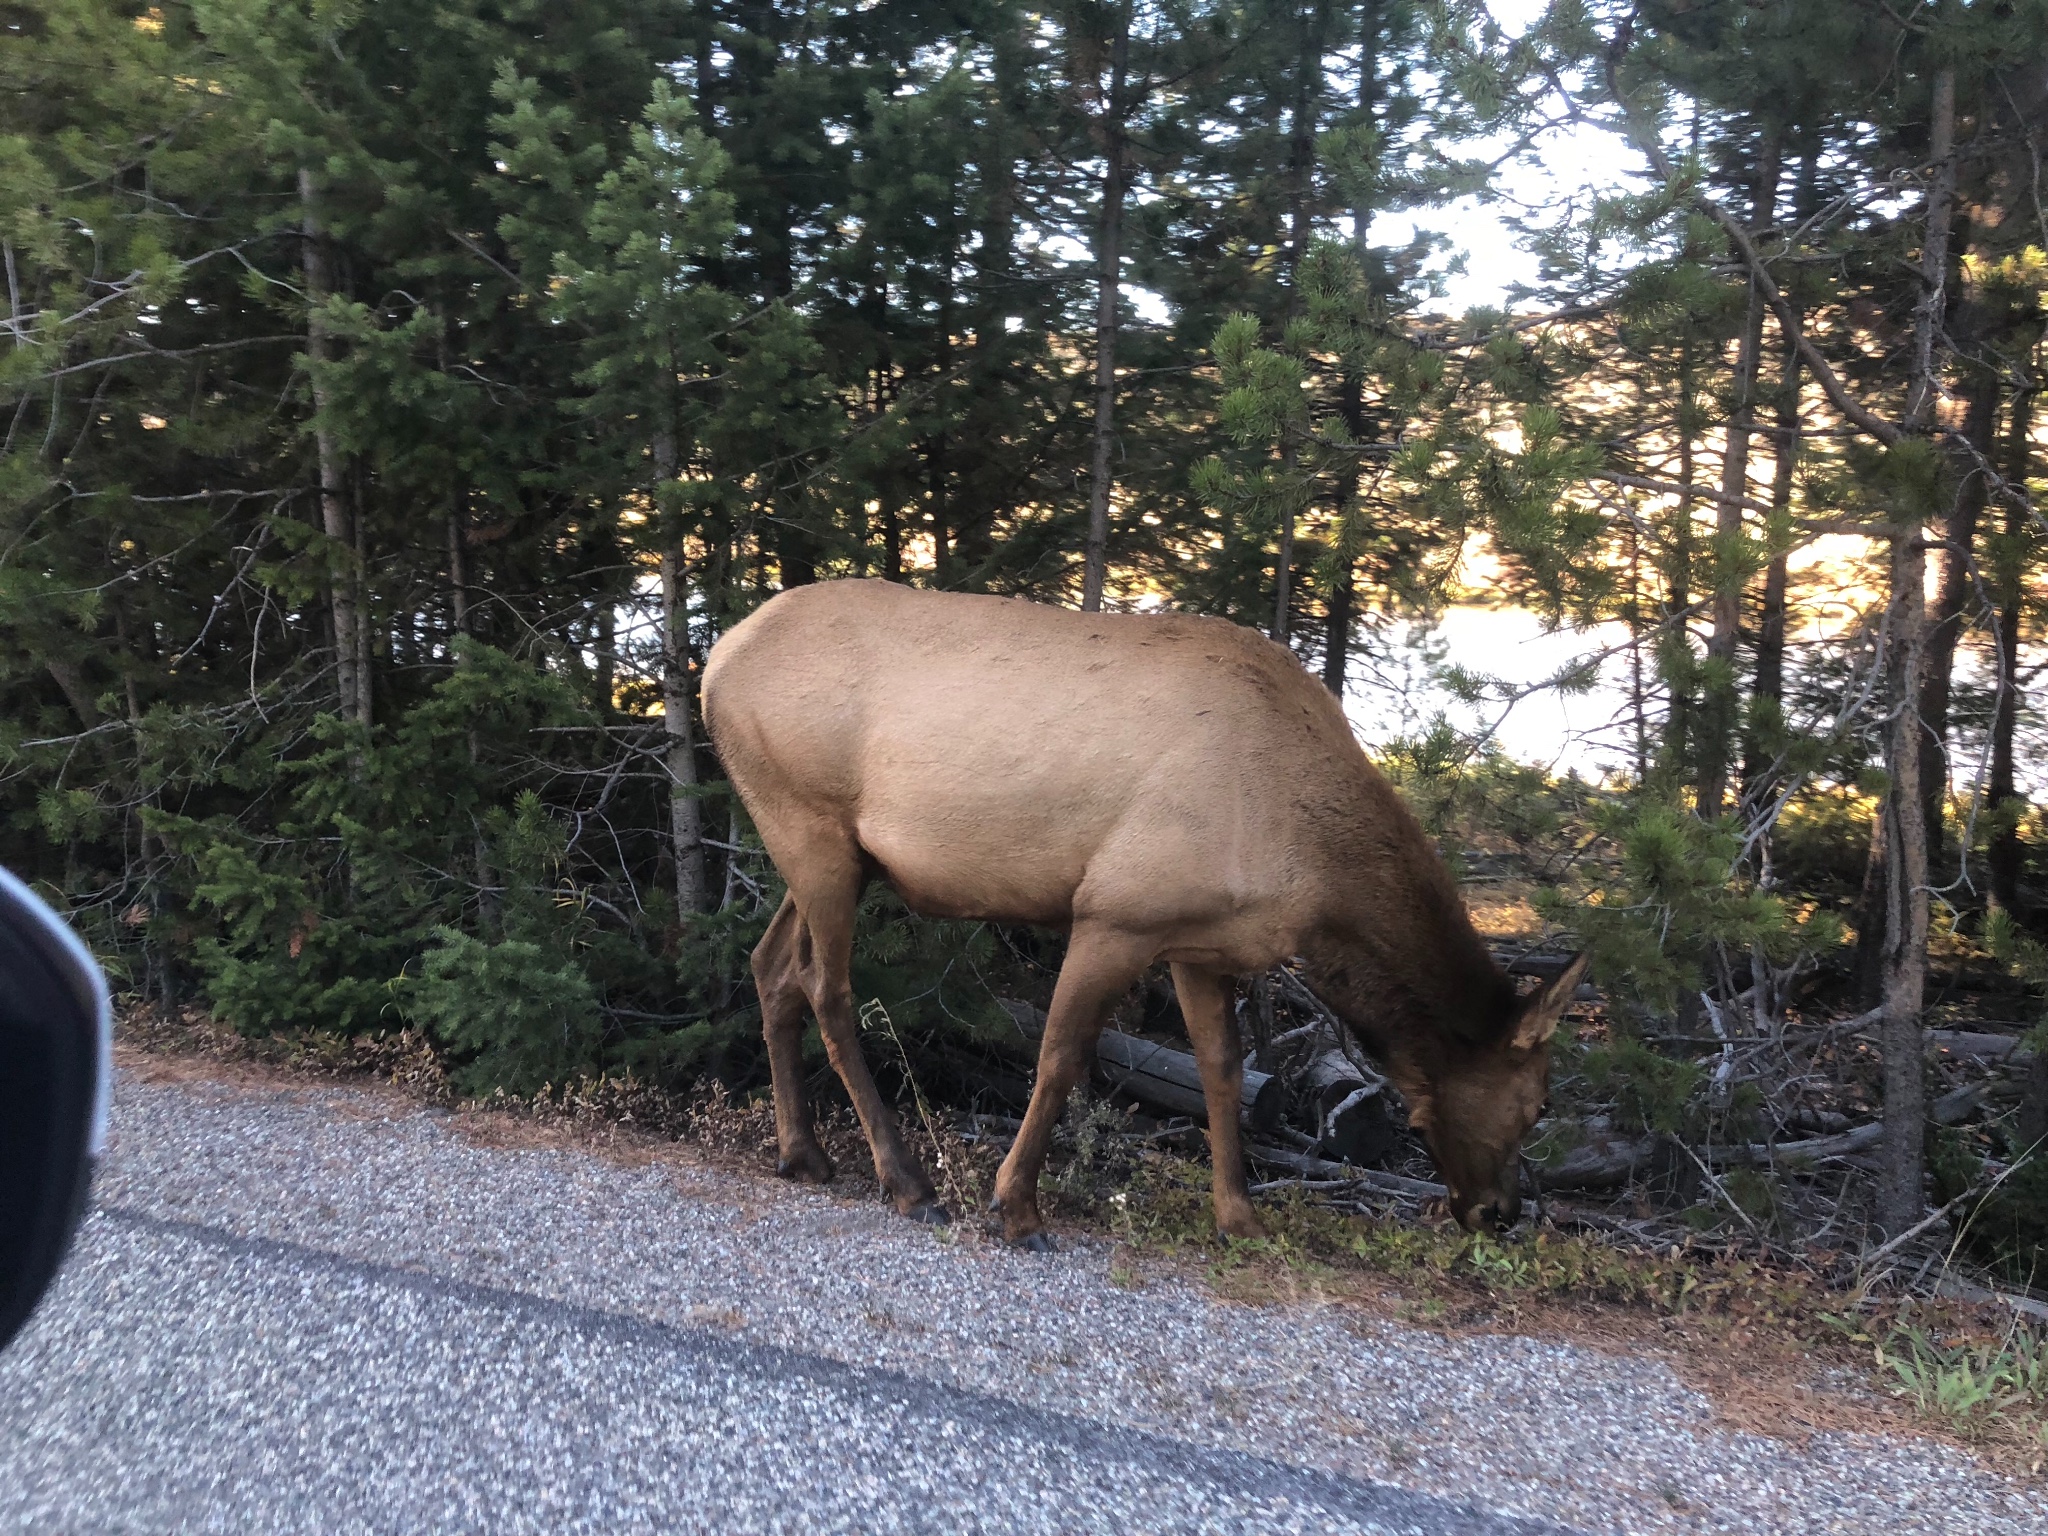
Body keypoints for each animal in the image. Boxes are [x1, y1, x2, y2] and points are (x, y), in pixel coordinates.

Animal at [704, 581, 1581, 1253]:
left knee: (770, 967)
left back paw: (803, 1152)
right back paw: (907, 1181)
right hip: (810, 824)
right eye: (1536, 1102)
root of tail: (717, 659)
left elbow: (1223, 1072)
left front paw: (1239, 1216)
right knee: (827, 986)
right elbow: (1062, 1057)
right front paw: (1017, 1208)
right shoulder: (1115, 912)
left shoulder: (1199, 941)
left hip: (834, 855)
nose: (1500, 1212)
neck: (1310, 874)